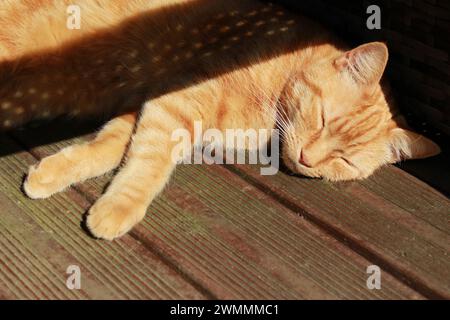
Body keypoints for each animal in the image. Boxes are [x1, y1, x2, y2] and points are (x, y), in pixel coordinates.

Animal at [0, 0, 440, 240]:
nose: (309, 160)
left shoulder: (144, 105)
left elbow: (110, 147)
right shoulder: (177, 103)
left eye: (343, 161)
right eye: (322, 119)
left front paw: (51, 173)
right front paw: (120, 208)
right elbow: (149, 164)